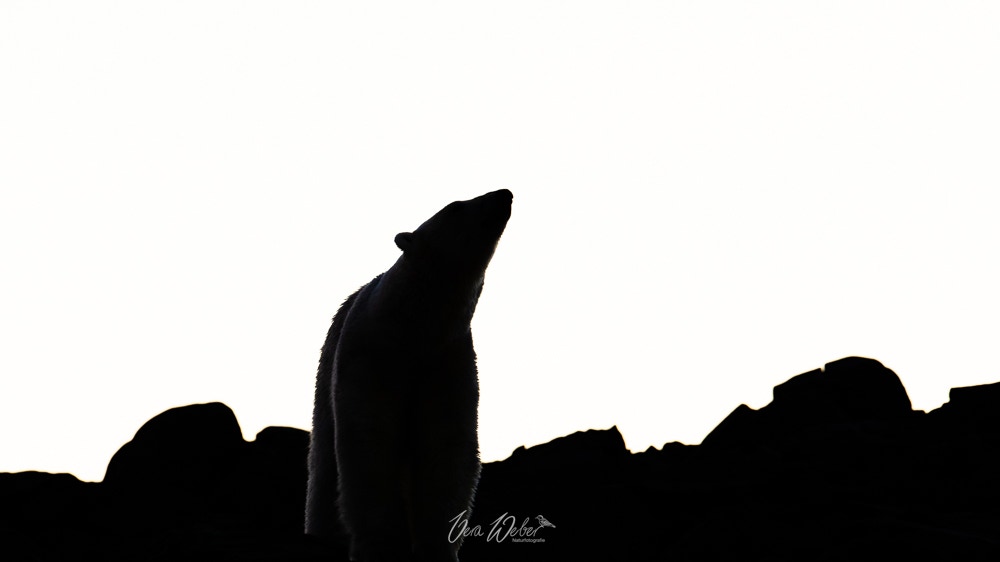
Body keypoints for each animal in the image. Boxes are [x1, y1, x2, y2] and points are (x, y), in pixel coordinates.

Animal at [306, 189, 513, 562]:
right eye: (455, 207)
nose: (503, 193)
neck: (412, 327)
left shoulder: (447, 363)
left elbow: (446, 444)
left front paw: (437, 546)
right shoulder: (370, 357)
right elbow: (369, 438)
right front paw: (381, 544)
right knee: (325, 466)